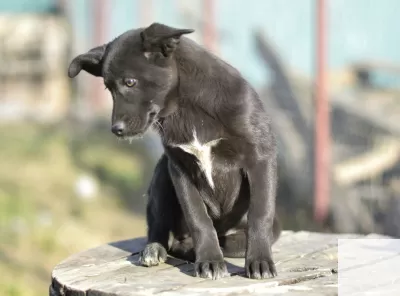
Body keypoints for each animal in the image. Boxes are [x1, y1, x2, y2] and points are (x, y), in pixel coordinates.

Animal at [69, 23, 282, 280]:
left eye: (130, 82)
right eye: (108, 88)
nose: (116, 130)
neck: (185, 107)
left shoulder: (260, 157)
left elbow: (260, 214)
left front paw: (260, 261)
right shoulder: (179, 168)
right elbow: (198, 218)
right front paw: (210, 260)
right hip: (162, 172)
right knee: (159, 226)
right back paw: (156, 249)